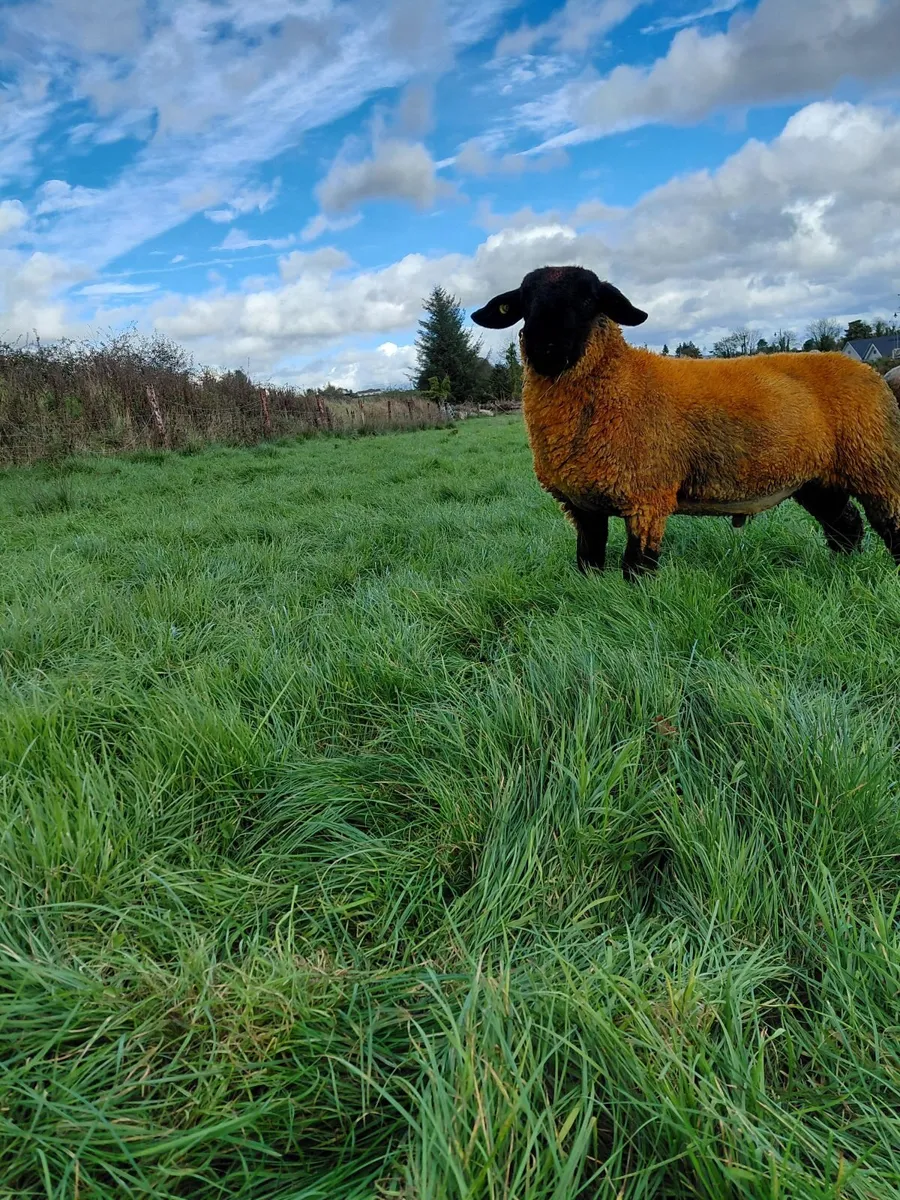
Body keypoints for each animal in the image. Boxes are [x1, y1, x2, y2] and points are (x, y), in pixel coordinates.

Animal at [471, 265, 900, 580]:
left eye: (590, 298)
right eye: (524, 301)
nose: (545, 347)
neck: (620, 379)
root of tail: (869, 371)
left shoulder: (647, 496)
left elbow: (636, 569)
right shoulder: (584, 506)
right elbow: (588, 564)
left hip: (875, 464)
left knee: (888, 524)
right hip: (817, 478)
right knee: (846, 525)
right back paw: (842, 571)